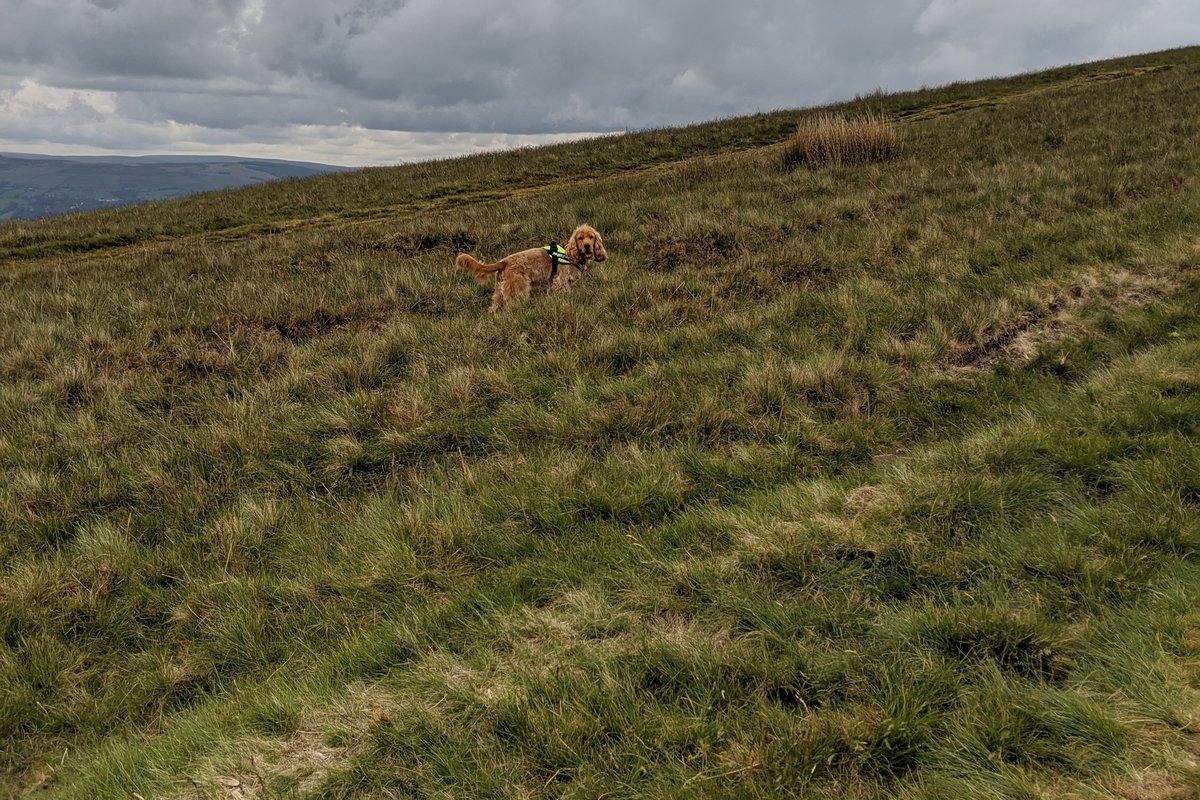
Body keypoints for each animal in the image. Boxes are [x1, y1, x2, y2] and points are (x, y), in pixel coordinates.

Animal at [451, 225, 604, 316]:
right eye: (580, 238)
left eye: (591, 237)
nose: (587, 246)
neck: (570, 254)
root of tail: (504, 262)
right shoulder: (560, 282)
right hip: (518, 291)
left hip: (499, 294)